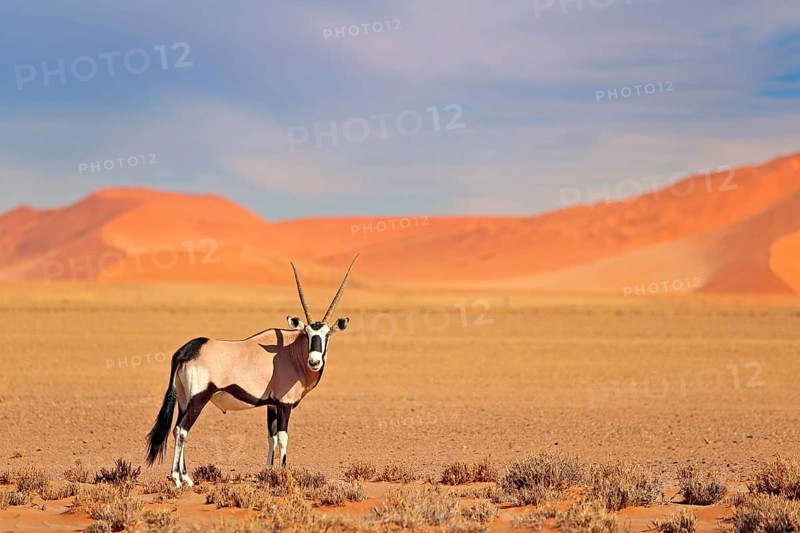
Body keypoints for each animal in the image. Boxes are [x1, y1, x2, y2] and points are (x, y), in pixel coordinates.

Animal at [145, 257, 357, 488]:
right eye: (308, 333)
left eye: (327, 335)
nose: (314, 361)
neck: (291, 352)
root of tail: (185, 351)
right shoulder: (284, 404)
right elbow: (283, 437)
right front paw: (283, 474)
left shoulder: (272, 405)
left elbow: (271, 437)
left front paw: (269, 472)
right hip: (198, 399)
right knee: (182, 430)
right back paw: (177, 479)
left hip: (184, 400)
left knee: (177, 428)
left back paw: (187, 478)